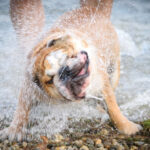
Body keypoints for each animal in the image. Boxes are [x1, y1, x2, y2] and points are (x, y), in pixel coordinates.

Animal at [0, 0, 142, 141]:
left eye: (69, 56)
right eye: (50, 80)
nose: (65, 71)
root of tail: (92, 9)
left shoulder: (103, 85)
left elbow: (113, 108)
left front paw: (127, 127)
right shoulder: (29, 89)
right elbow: (22, 108)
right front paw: (15, 130)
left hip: (113, 71)